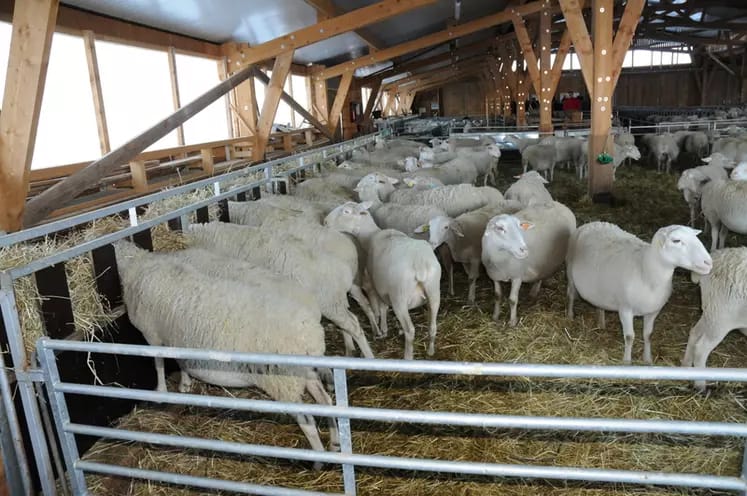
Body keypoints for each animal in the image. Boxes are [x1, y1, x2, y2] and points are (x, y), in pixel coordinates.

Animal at [114, 242, 338, 460]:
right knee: (325, 402)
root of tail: (310, 339)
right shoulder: (177, 335)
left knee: (307, 420)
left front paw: (161, 391)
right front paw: (185, 383)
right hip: (302, 374)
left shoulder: (152, 334)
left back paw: (318, 460)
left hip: (282, 382)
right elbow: (180, 360)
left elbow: (158, 364)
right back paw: (335, 443)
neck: (136, 264)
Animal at [186, 223, 374, 358]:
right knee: (349, 321)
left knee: (353, 325)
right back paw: (350, 350)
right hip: (336, 301)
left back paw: (369, 358)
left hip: (330, 302)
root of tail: (344, 272)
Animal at [324, 202, 442, 360]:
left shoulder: (377, 285)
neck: (369, 236)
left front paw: (382, 329)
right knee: (433, 325)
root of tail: (420, 263)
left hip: (399, 298)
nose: (325, 222)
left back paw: (407, 356)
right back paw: (430, 350)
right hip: (434, 291)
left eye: (346, 211)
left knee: (410, 330)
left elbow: (381, 307)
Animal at [568, 222, 712, 364]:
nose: (708, 263)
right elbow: (629, 337)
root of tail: (592, 223)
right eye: (676, 240)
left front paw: (647, 359)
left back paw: (601, 323)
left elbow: (648, 335)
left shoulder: (653, 311)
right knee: (570, 295)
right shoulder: (625, 309)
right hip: (569, 273)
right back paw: (570, 316)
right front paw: (627, 361)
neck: (645, 270)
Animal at [684, 248, 747, 392]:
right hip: (721, 319)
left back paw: (685, 366)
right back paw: (700, 385)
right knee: (701, 349)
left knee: (694, 333)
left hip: (711, 312)